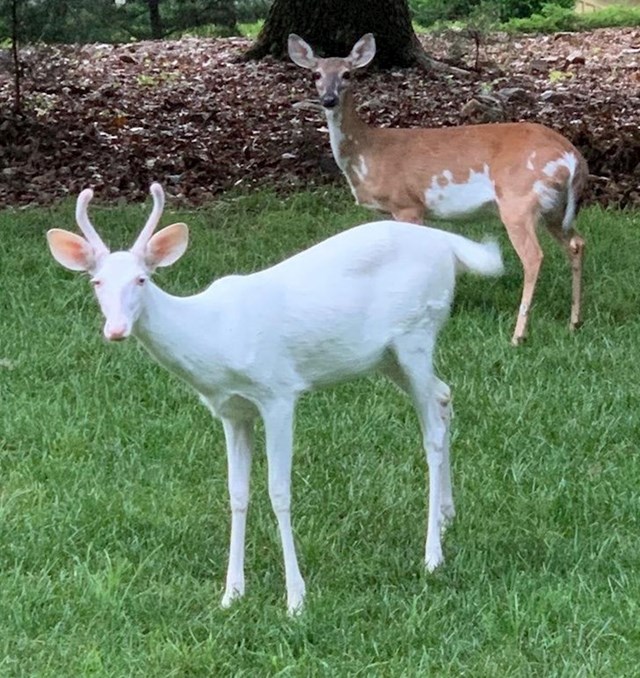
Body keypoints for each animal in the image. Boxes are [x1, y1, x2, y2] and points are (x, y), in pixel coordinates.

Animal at [46, 183, 504, 612]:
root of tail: (448, 245)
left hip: (416, 334)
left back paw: (432, 555)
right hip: (387, 357)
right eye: (97, 282)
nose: (116, 330)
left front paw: (296, 598)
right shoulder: (232, 411)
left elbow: (279, 491)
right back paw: (446, 517)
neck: (212, 337)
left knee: (431, 432)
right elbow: (237, 493)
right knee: (444, 395)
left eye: (142, 279)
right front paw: (232, 593)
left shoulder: (279, 392)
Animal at [290, 33, 592, 346]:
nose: (328, 99)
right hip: (555, 208)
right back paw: (574, 322)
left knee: (534, 256)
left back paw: (518, 335)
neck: (367, 151)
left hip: (518, 200)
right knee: (577, 243)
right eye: (316, 74)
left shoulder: (407, 204)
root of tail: (573, 158)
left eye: (347, 74)